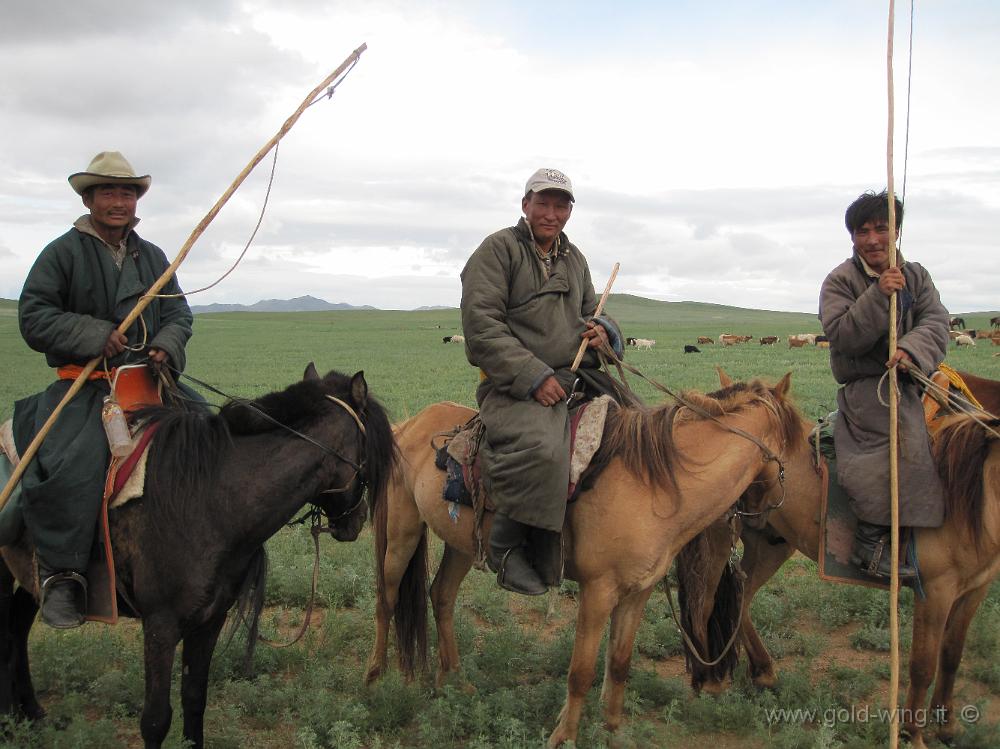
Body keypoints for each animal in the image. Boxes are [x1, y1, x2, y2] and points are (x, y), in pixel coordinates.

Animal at [0, 366, 398, 748]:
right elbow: (156, 719)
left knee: (17, 626)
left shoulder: (210, 618)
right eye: (368, 451)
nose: (357, 521)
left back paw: (29, 714)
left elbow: (194, 698)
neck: (209, 498)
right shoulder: (160, 625)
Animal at [368, 376, 804, 744]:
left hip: (461, 544)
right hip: (403, 531)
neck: (658, 485)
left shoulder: (637, 592)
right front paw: (564, 736)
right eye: (798, 440)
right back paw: (376, 677)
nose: (765, 518)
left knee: (441, 596)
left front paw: (613, 730)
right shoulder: (598, 591)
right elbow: (581, 671)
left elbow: (620, 662)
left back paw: (454, 679)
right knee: (386, 600)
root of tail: (410, 424)